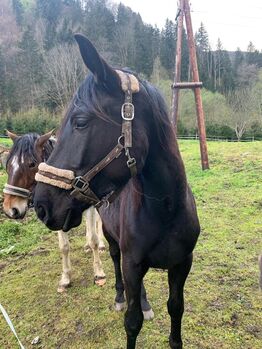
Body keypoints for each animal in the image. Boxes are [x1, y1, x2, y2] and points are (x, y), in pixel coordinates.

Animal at [2, 129, 106, 290]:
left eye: (32, 164)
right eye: (8, 165)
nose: (10, 209)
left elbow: (93, 239)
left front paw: (99, 273)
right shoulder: (55, 214)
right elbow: (64, 246)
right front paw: (65, 278)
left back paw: (101, 245)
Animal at [33, 34, 201, 348]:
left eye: (80, 122)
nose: (40, 205)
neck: (165, 209)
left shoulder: (182, 264)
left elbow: (176, 308)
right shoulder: (132, 264)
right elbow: (132, 323)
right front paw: (128, 306)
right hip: (112, 240)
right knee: (113, 260)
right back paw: (121, 296)